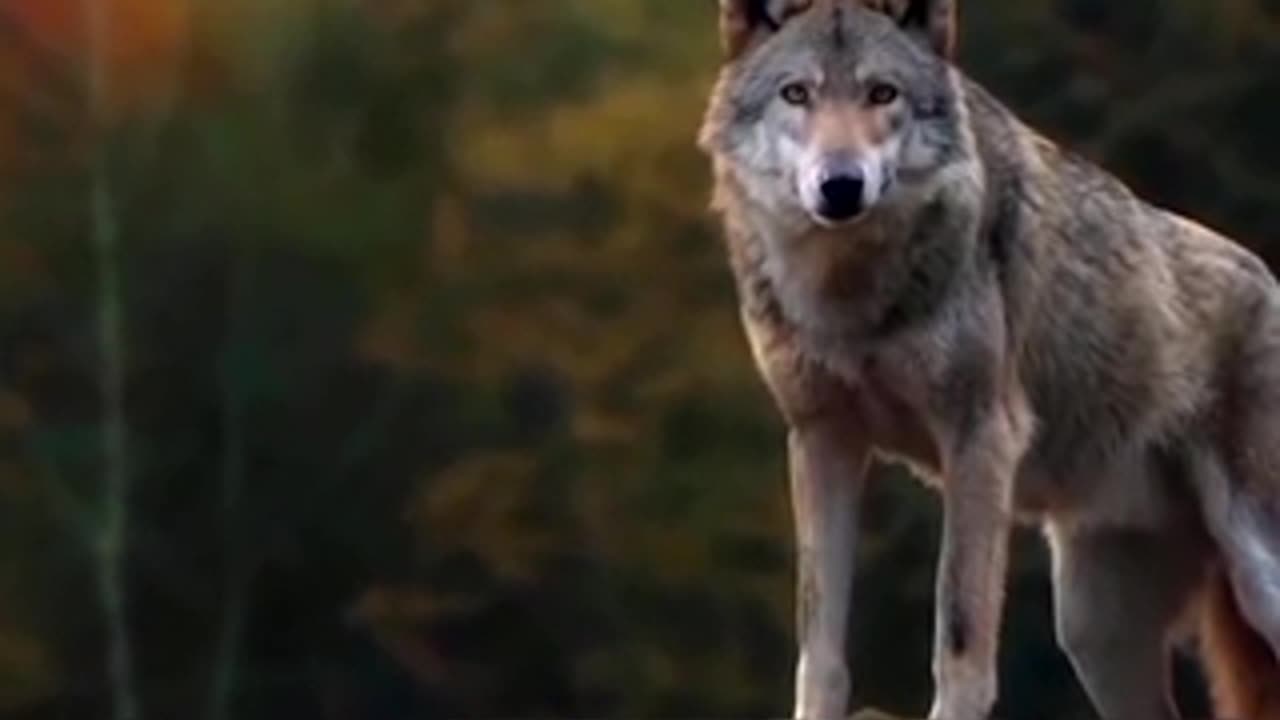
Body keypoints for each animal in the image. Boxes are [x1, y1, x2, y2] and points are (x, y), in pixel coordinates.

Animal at [698, 1, 1280, 719]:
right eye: (796, 93)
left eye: (882, 93)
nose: (841, 185)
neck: (851, 296)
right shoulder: (821, 440)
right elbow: (821, 647)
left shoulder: (979, 439)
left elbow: (960, 634)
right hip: (1093, 631)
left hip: (1254, 579)